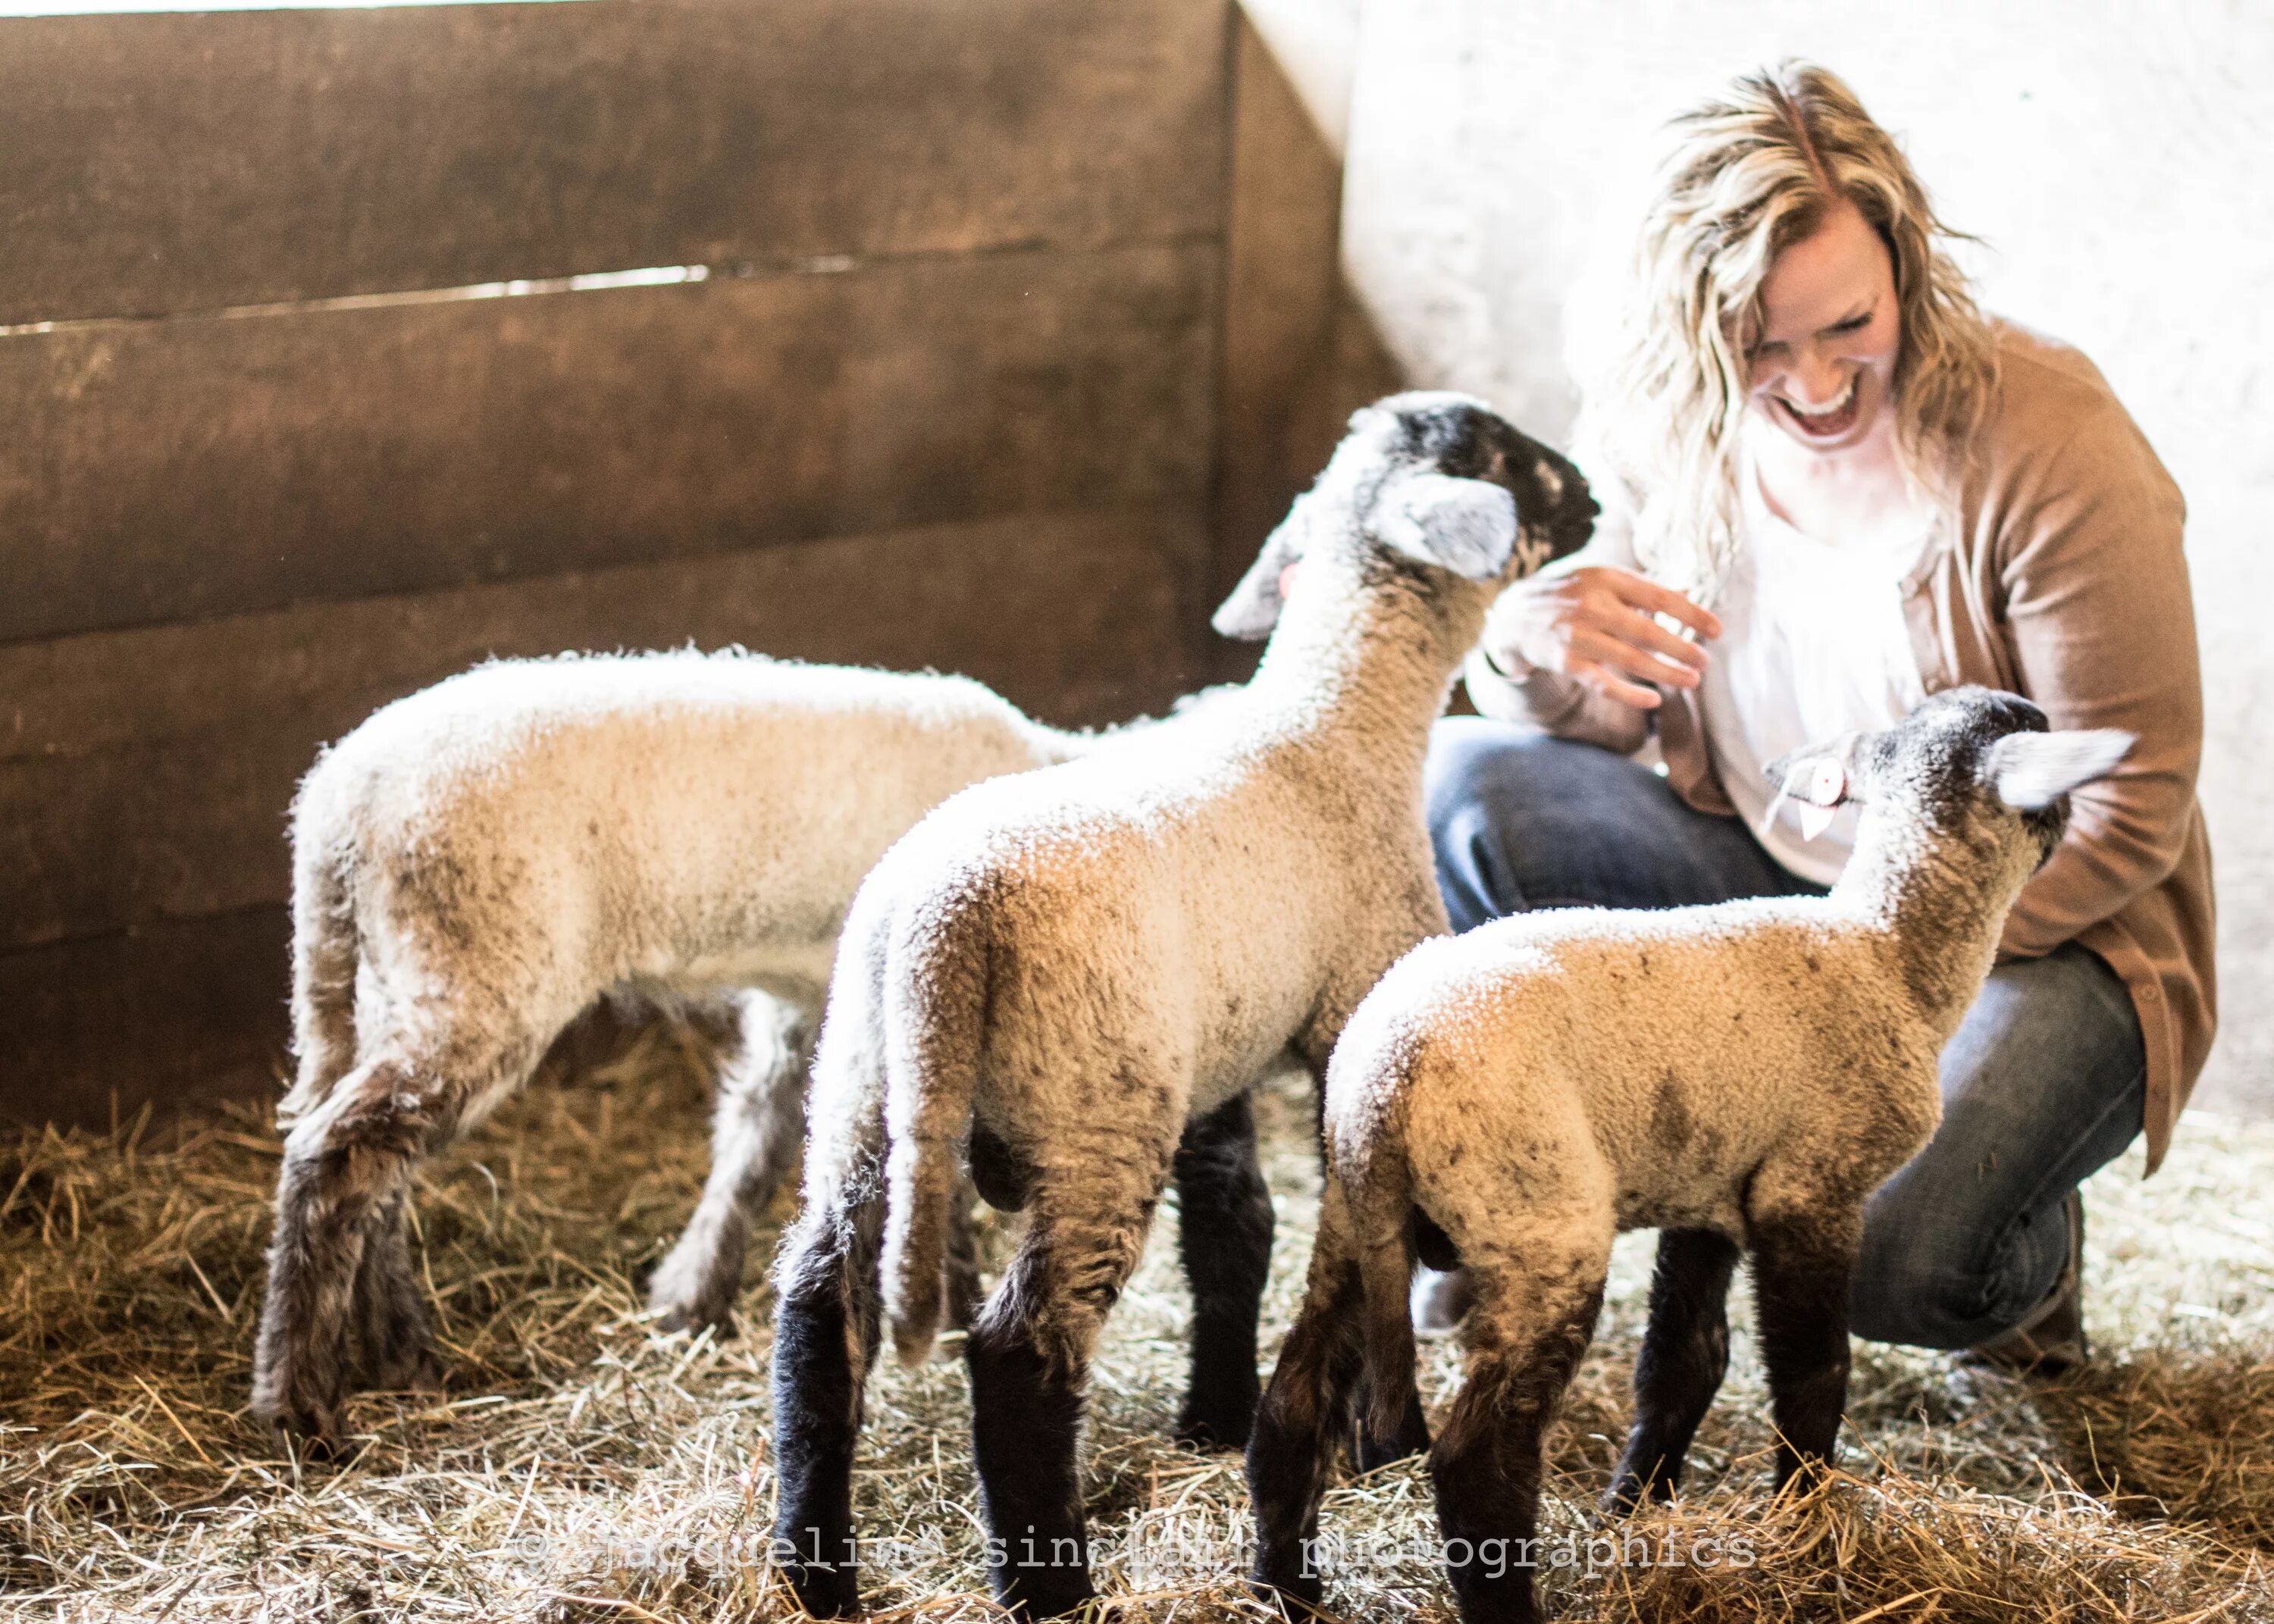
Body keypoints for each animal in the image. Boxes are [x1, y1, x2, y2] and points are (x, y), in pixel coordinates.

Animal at [253, 646, 1087, 1428]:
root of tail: (334, 804)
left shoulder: (814, 1001)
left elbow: (761, 1137)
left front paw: (691, 1295)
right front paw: (939, 1315)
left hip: (387, 981)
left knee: (377, 1168)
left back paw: (404, 1356)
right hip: (475, 968)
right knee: (336, 1154)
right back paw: (298, 1399)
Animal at [764, 396, 1601, 1619]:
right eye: (1508, 456)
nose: (1594, 497)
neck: (1335, 722)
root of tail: (943, 922)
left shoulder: (1216, 1057)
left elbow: (1234, 1227)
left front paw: (1213, 1411)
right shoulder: (1351, 1023)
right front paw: (1366, 1434)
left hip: (861, 1092)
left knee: (818, 1311)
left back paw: (814, 1567)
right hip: (1095, 1108)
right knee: (1019, 1350)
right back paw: (1049, 1581)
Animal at [1246, 682, 2128, 1619]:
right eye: (2035, 734)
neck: (1888, 953)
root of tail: (1384, 1075)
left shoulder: (1711, 1191)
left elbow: (1683, 1363)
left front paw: (1636, 1510)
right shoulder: (1809, 1188)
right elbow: (1814, 1374)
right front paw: (1806, 1525)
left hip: (1354, 1221)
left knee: (1293, 1410)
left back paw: (1286, 1589)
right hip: (1538, 1220)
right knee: (1475, 1463)